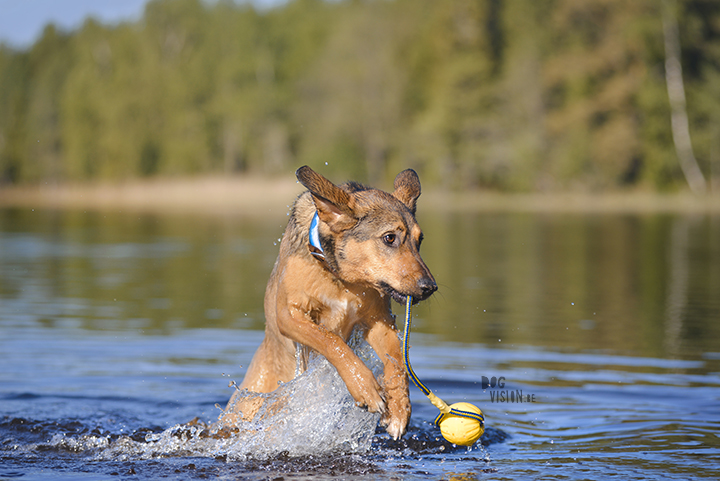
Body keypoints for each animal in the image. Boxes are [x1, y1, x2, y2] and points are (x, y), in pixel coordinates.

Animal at [219, 165, 436, 438]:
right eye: (389, 238)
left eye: (420, 240)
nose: (430, 287)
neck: (341, 279)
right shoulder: (288, 315)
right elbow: (331, 341)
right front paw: (365, 388)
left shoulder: (379, 320)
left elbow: (397, 362)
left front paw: (399, 410)